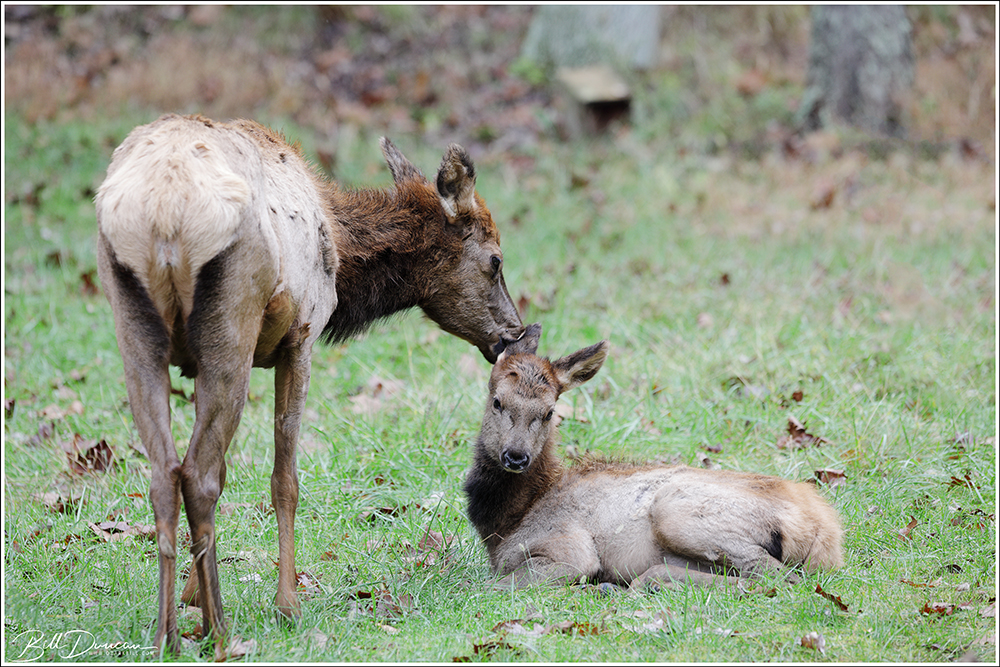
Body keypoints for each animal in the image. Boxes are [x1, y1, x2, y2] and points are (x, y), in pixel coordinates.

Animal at [94, 113, 524, 658]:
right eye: (495, 259)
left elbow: (235, 471)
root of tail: (165, 212)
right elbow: (284, 479)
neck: (343, 253)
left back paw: (166, 634)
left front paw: (193, 595)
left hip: (133, 332)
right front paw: (287, 603)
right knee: (198, 475)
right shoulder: (301, 337)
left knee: (164, 474)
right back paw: (219, 631)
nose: (513, 334)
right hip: (231, 328)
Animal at [464, 324, 843, 592]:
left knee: (776, 578)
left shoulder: (569, 548)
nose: (516, 456)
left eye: (548, 412)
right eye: (497, 401)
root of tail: (825, 533)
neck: (504, 522)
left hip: (675, 511)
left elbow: (488, 587)